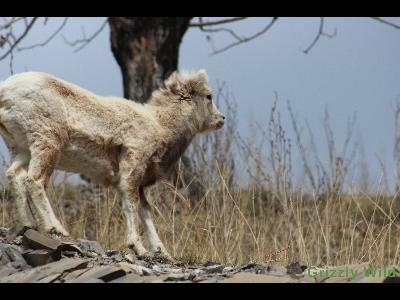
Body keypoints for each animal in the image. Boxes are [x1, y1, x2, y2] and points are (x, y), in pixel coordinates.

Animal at [0, 69, 225, 256]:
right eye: (209, 96)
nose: (221, 119)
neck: (160, 125)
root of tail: (6, 91)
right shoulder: (132, 170)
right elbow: (131, 206)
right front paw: (139, 248)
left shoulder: (140, 183)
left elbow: (146, 212)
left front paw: (162, 251)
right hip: (47, 143)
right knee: (35, 181)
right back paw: (56, 228)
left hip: (23, 150)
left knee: (15, 175)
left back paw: (29, 224)